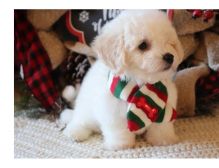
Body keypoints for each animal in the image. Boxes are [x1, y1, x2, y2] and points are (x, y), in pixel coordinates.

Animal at [60, 10, 184, 150]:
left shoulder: (165, 105)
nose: (170, 57)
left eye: (169, 43)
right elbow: (119, 130)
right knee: (80, 121)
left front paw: (163, 140)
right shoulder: (113, 112)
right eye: (143, 45)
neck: (142, 85)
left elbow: (161, 126)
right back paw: (74, 132)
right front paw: (121, 145)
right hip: (86, 110)